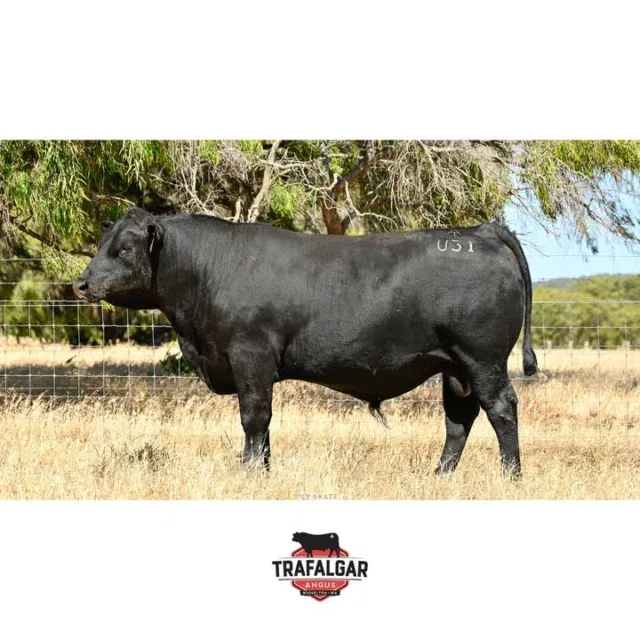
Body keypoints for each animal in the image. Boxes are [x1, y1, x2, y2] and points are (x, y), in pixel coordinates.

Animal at [73, 207, 538, 477]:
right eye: (102, 243)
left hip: (482, 357)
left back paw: (510, 476)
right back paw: (439, 475)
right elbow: (264, 426)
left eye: (125, 248)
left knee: (501, 409)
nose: (81, 283)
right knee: (459, 418)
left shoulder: (250, 356)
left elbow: (254, 418)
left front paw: (248, 474)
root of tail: (481, 231)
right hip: (455, 366)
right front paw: (263, 472)